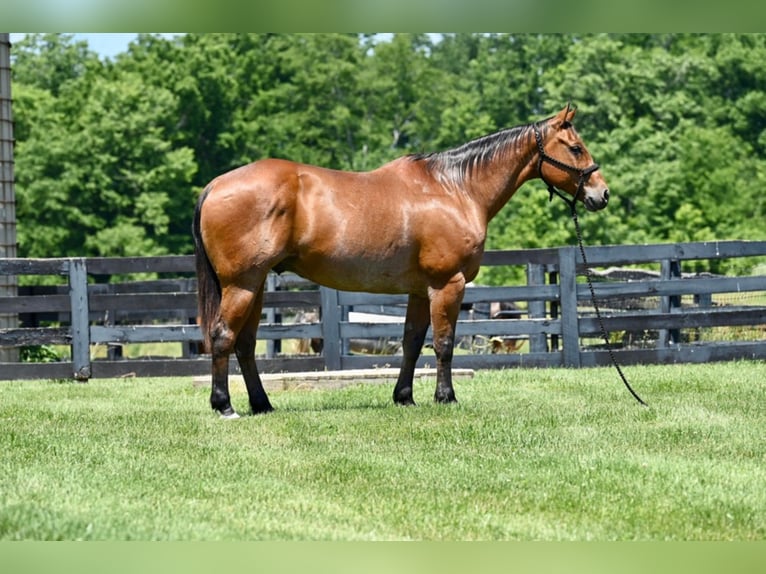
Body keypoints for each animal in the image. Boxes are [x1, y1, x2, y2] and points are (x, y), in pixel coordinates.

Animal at [194, 103, 612, 418]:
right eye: (576, 148)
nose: (602, 193)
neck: (455, 188)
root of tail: (215, 185)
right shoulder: (448, 284)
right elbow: (444, 343)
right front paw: (446, 397)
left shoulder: (419, 290)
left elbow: (412, 341)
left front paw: (404, 397)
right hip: (242, 285)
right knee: (223, 336)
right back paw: (224, 406)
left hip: (255, 286)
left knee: (245, 344)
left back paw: (261, 404)